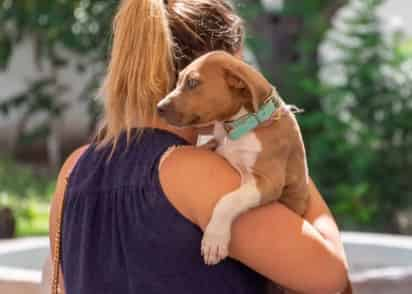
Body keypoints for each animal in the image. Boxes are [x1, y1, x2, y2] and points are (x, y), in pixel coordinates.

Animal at [157, 50, 308, 264]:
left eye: (193, 83)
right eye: (178, 81)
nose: (158, 107)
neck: (242, 125)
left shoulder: (268, 182)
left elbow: (229, 200)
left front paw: (214, 239)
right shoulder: (218, 145)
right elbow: (206, 146)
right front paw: (172, 151)